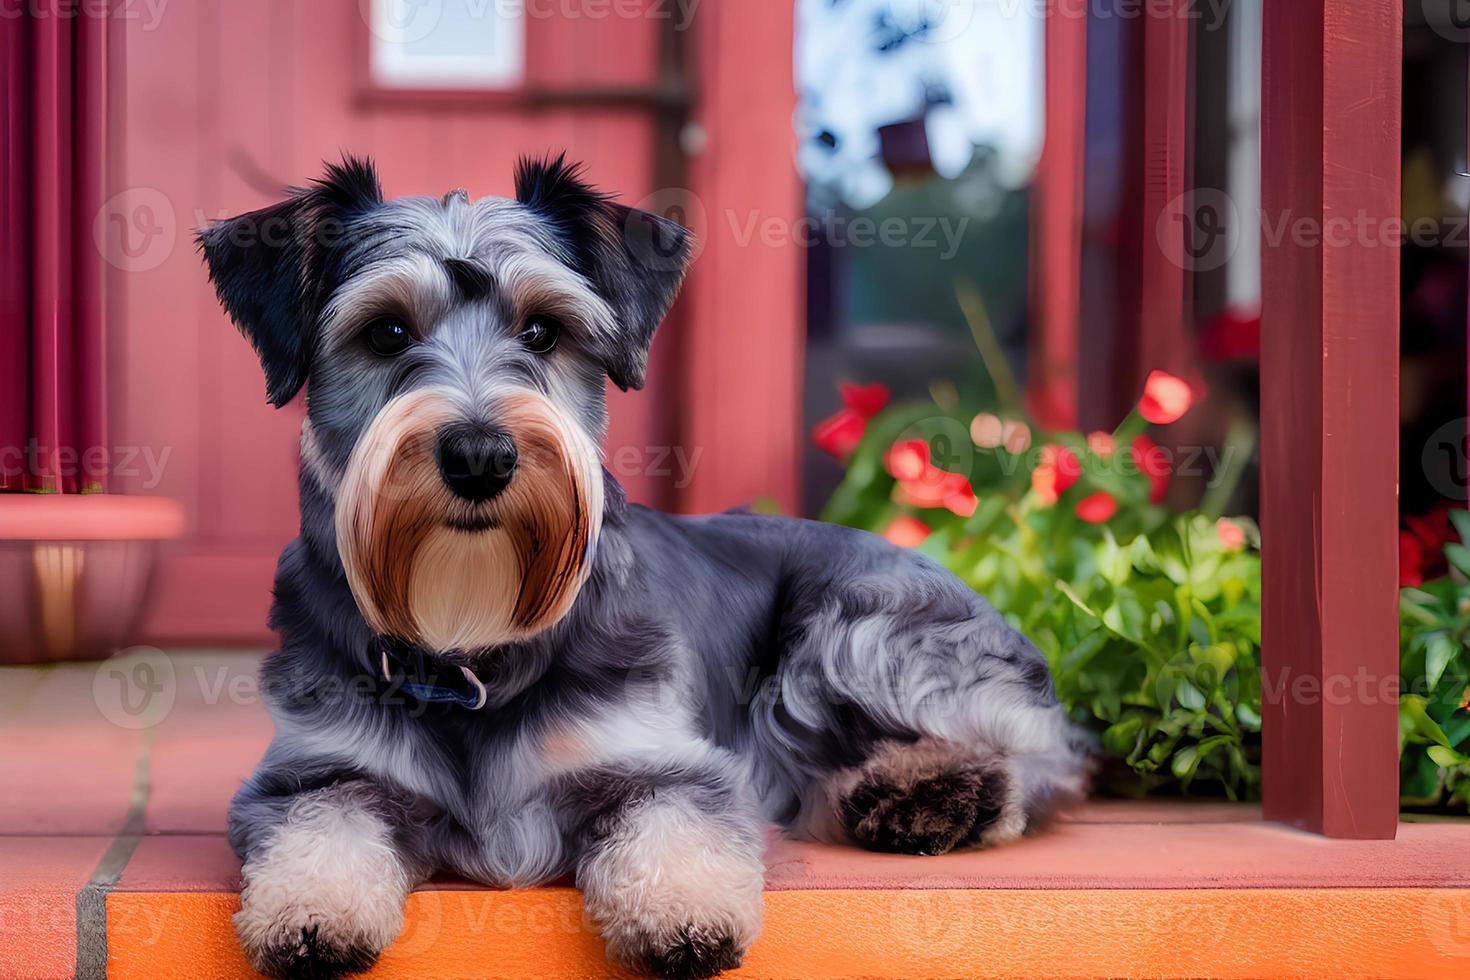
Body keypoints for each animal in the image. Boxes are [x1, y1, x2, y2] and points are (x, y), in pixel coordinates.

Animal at [198, 157, 1093, 980]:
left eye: (543, 330)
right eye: (384, 331)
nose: (481, 455)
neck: (472, 642)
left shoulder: (660, 759)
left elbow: (677, 818)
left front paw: (681, 909)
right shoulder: (316, 771)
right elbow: (319, 827)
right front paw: (312, 911)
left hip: (853, 639)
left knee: (1040, 755)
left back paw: (941, 793)